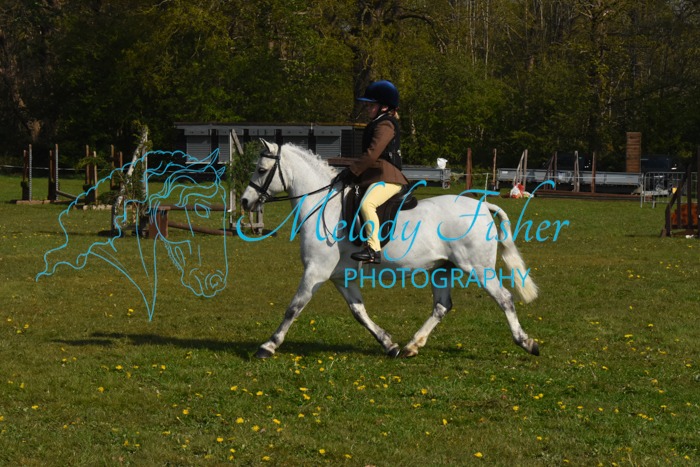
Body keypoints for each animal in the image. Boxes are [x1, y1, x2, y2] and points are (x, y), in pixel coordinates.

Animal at [239, 141, 541, 359]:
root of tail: (482, 205)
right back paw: (411, 346)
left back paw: (527, 342)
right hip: (442, 269)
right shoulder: (340, 277)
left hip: (478, 268)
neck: (324, 206)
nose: (244, 201)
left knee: (504, 298)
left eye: (262, 170)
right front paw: (389, 344)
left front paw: (268, 346)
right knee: (441, 306)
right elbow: (359, 312)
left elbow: (293, 308)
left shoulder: (316, 272)